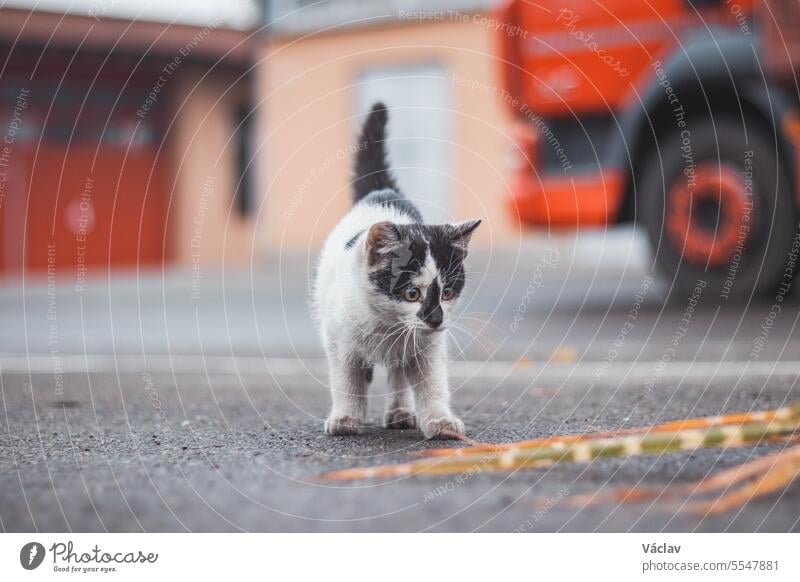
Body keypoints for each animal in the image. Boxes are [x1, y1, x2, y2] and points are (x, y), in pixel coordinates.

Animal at [312, 102, 482, 440]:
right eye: (412, 293)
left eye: (447, 292)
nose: (436, 318)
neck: (387, 326)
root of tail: (382, 193)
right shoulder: (339, 340)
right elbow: (346, 379)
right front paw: (346, 418)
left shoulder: (428, 346)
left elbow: (431, 382)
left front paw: (440, 421)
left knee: (398, 373)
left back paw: (401, 412)